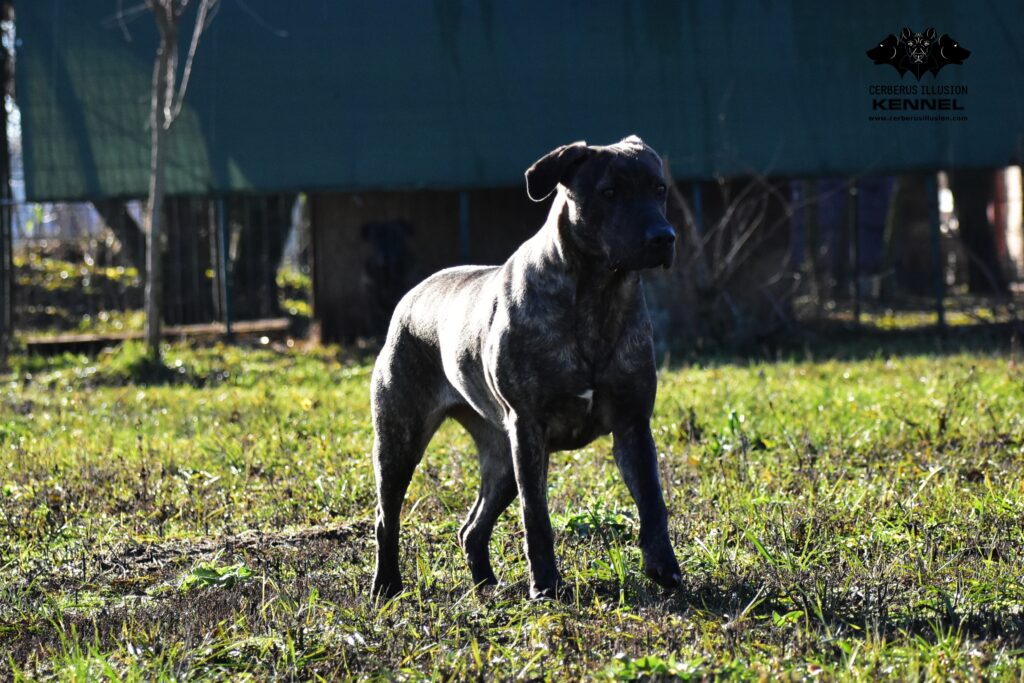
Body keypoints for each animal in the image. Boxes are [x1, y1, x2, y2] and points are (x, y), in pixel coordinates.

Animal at [372, 133, 684, 598]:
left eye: (659, 188)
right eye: (610, 192)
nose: (663, 237)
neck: (597, 293)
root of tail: (410, 297)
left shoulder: (632, 422)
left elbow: (652, 500)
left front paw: (665, 568)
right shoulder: (529, 426)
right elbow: (536, 514)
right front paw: (546, 585)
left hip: (502, 457)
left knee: (472, 527)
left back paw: (485, 586)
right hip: (402, 437)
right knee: (386, 516)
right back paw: (387, 585)